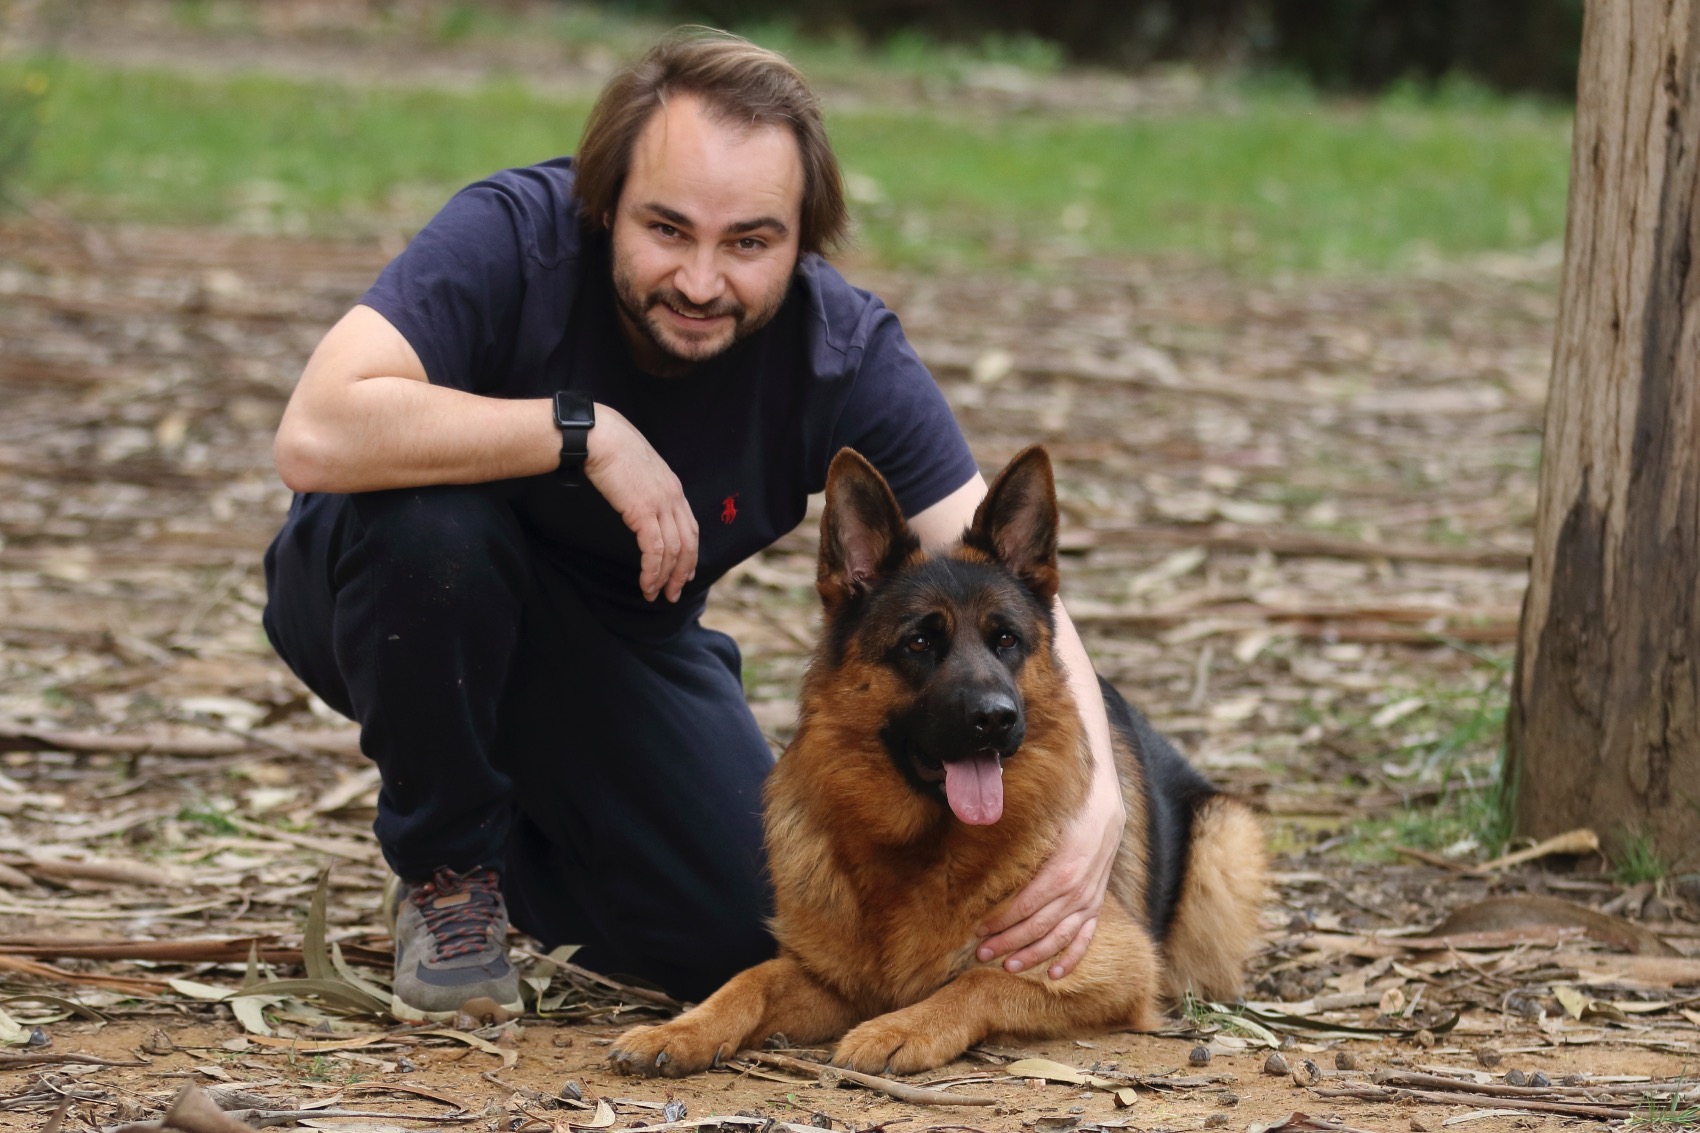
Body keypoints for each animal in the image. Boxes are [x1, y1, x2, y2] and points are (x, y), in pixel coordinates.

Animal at [612, 445, 1264, 1075]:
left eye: (1007, 640)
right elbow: (748, 981)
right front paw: (681, 1030)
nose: (996, 718)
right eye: (920, 642)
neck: (919, 844)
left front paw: (901, 1029)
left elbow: (978, 981)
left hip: (1223, 838)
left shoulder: (1114, 968)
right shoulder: (830, 980)